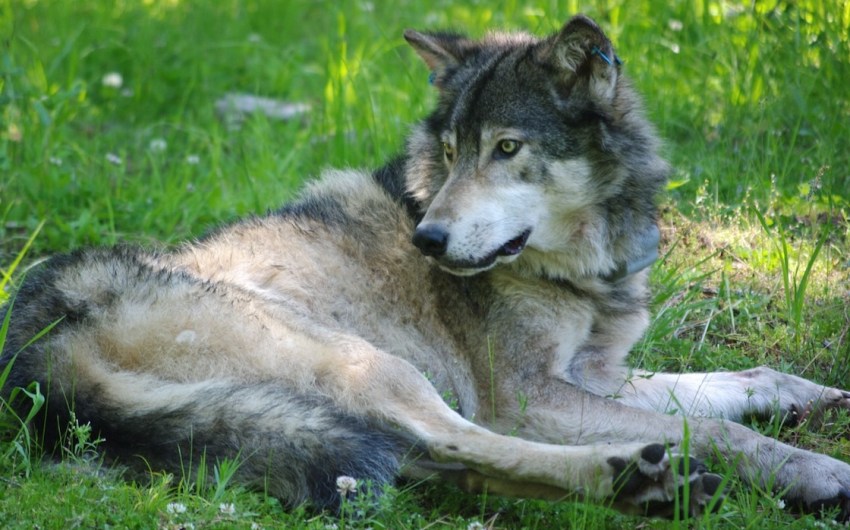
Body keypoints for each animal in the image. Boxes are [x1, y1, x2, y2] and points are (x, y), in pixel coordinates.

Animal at [2, 14, 850, 519]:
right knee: (450, 440)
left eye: (506, 149)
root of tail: (35, 342)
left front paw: (809, 395)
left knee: (436, 465)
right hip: (372, 364)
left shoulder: (596, 376)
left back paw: (638, 485)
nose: (428, 240)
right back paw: (628, 477)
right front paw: (812, 470)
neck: (581, 268)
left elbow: (731, 386)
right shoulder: (528, 395)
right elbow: (715, 429)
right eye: (450, 151)